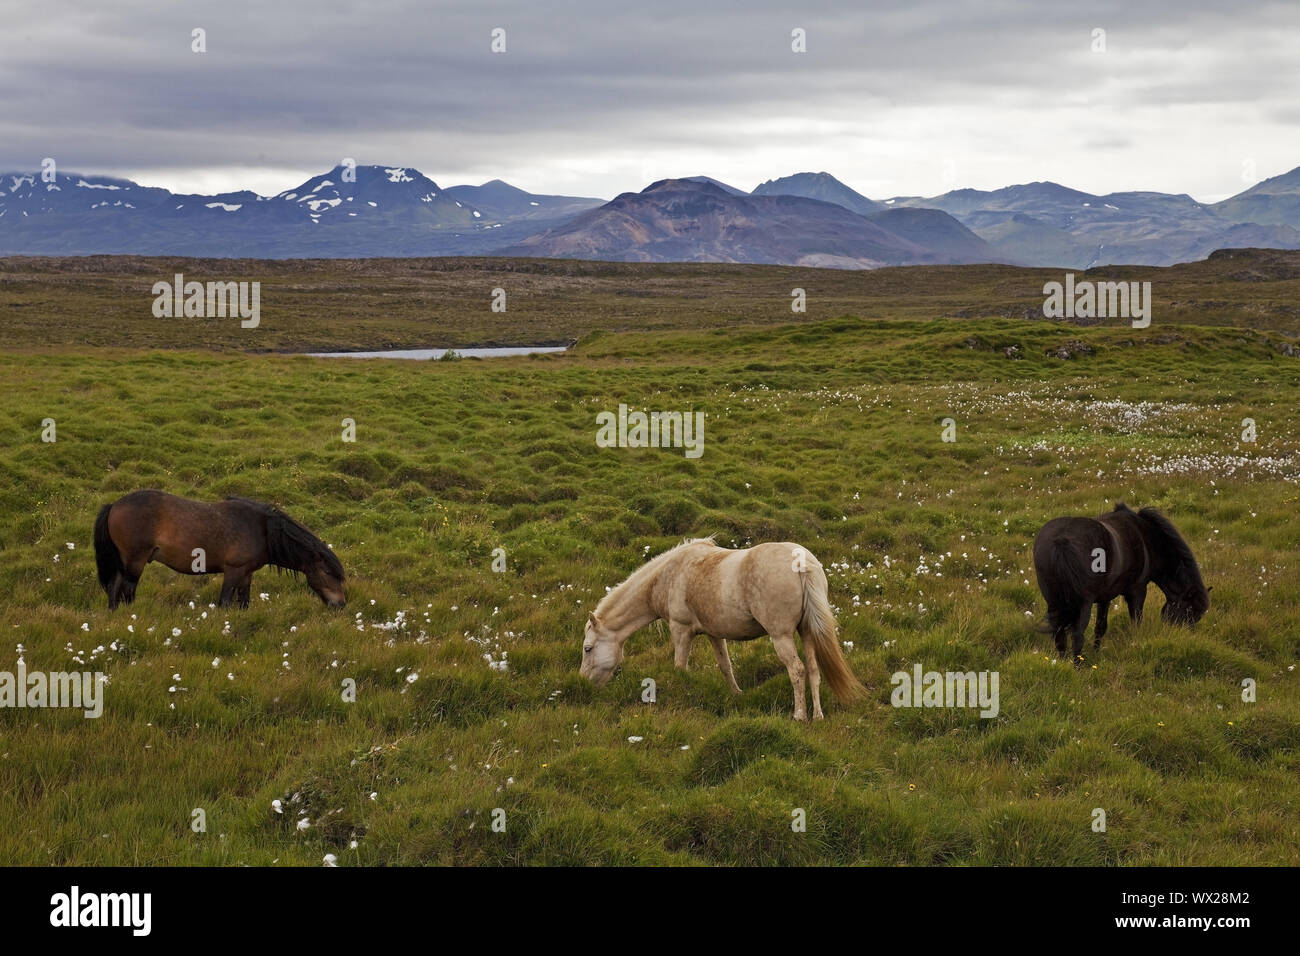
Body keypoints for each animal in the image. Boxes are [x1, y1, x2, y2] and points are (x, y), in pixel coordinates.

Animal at [93, 490, 346, 610]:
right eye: (327, 573)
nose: (340, 604)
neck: (262, 529)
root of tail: (114, 505)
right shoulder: (233, 571)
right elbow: (225, 602)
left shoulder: (246, 573)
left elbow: (244, 602)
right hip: (135, 561)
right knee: (127, 590)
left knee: (114, 588)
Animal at [579, 538, 866, 720]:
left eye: (588, 648)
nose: (583, 683)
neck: (666, 577)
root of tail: (802, 562)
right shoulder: (714, 633)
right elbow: (725, 665)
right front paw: (736, 694)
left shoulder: (680, 630)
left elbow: (679, 668)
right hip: (806, 632)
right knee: (814, 670)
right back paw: (817, 716)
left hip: (781, 636)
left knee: (797, 670)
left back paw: (799, 715)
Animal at [1032, 502, 1209, 664]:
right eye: (1189, 612)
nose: (1183, 636)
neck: (1146, 539)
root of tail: (1061, 540)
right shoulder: (1138, 591)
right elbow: (1136, 623)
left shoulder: (1105, 597)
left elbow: (1100, 627)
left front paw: (1096, 652)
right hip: (1083, 603)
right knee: (1077, 636)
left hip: (1054, 602)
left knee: (1059, 634)